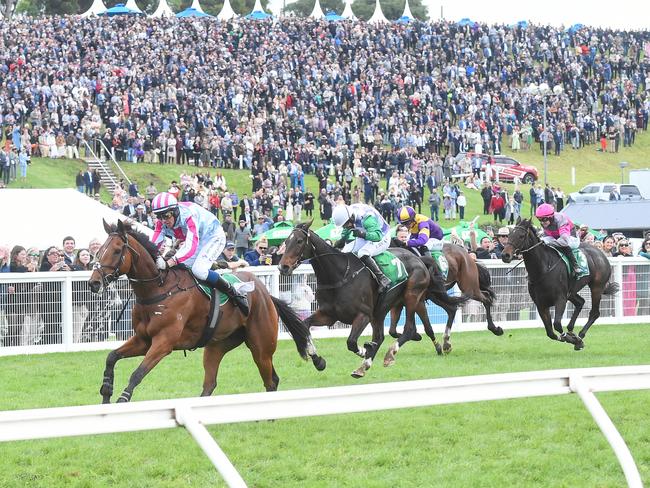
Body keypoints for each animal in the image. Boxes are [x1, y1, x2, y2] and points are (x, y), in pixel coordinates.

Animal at [90, 221, 322, 404]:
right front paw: (106, 393)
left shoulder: (164, 342)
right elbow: (111, 357)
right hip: (216, 346)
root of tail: (266, 294)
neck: (158, 289)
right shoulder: (143, 340)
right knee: (210, 384)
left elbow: (137, 373)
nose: (94, 283)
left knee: (271, 381)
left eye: (117, 251)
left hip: (261, 346)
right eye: (99, 251)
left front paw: (122, 399)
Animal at [276, 221, 464, 378]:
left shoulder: (363, 315)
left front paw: (364, 350)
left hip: (412, 295)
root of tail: (419, 258)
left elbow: (351, 342)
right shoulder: (328, 315)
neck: (339, 275)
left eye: (299, 241)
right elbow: (304, 326)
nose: (283, 267)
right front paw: (318, 360)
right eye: (286, 241)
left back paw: (390, 354)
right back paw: (364, 366)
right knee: (382, 336)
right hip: (383, 309)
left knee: (410, 328)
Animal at [502, 219, 616, 348]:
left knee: (594, 313)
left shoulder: (560, 299)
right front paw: (570, 337)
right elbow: (550, 332)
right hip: (571, 292)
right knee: (580, 302)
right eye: (509, 235)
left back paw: (580, 335)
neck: (543, 269)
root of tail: (601, 253)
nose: (505, 255)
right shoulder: (541, 304)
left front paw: (572, 339)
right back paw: (571, 330)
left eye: (521, 236)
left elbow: (556, 324)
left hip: (596, 287)